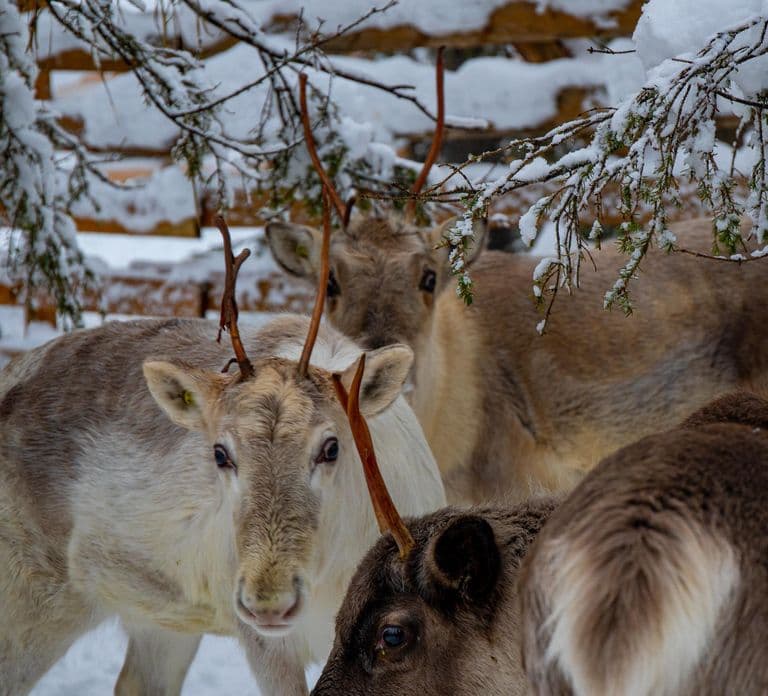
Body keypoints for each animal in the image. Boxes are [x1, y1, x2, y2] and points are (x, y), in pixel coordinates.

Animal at [0, 185, 445, 692]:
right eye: (220, 453)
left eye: (331, 447)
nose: (268, 598)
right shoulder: (262, 641)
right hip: (31, 594)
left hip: (161, 619)